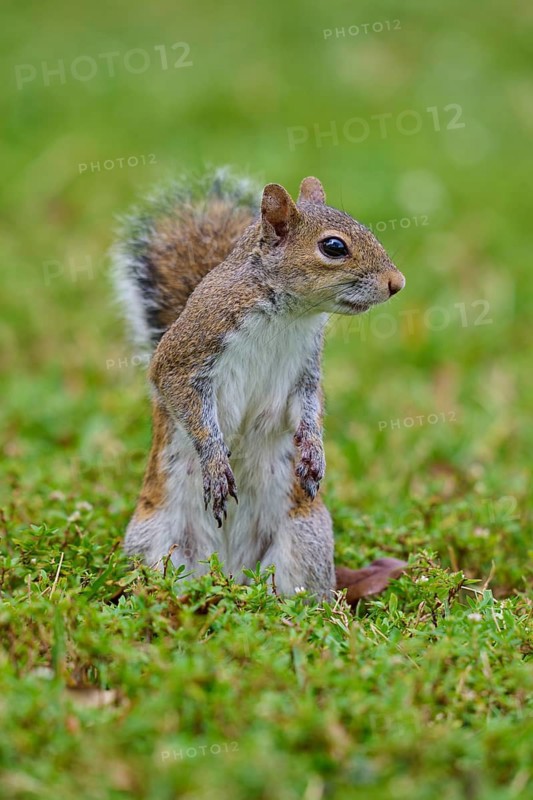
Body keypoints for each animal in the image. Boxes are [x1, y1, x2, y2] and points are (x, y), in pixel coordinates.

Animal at [113, 168, 405, 600]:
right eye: (334, 246)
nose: (397, 282)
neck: (287, 314)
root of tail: (228, 573)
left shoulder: (306, 369)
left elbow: (309, 405)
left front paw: (314, 450)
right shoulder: (186, 355)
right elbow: (182, 397)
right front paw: (215, 463)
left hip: (304, 540)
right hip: (153, 541)